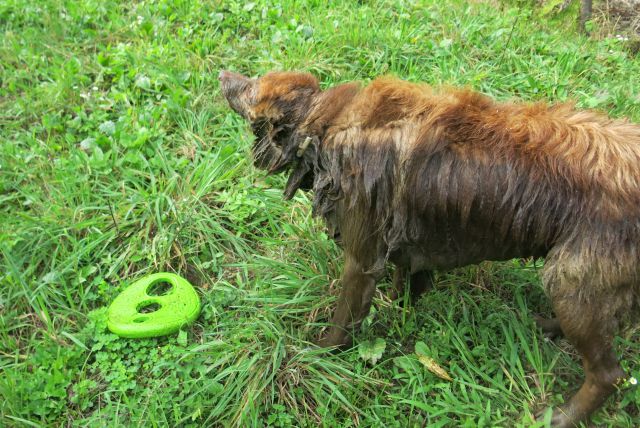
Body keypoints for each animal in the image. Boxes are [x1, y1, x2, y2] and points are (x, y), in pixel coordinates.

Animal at [221, 70, 640, 424]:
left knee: (609, 373)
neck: (325, 128)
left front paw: (319, 353)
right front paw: (400, 306)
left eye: (251, 88)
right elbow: (406, 282)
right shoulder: (402, 243)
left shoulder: (361, 258)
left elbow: (344, 322)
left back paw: (562, 416)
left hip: (573, 281)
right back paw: (547, 326)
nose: (224, 75)